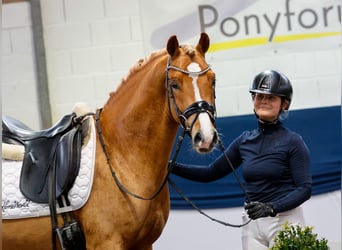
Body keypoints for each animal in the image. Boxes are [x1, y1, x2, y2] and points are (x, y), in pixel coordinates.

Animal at [1, 32, 218, 248]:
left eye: (213, 80)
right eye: (174, 84)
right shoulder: (106, 243)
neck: (119, 155)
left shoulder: (144, 244)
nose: (206, 137)